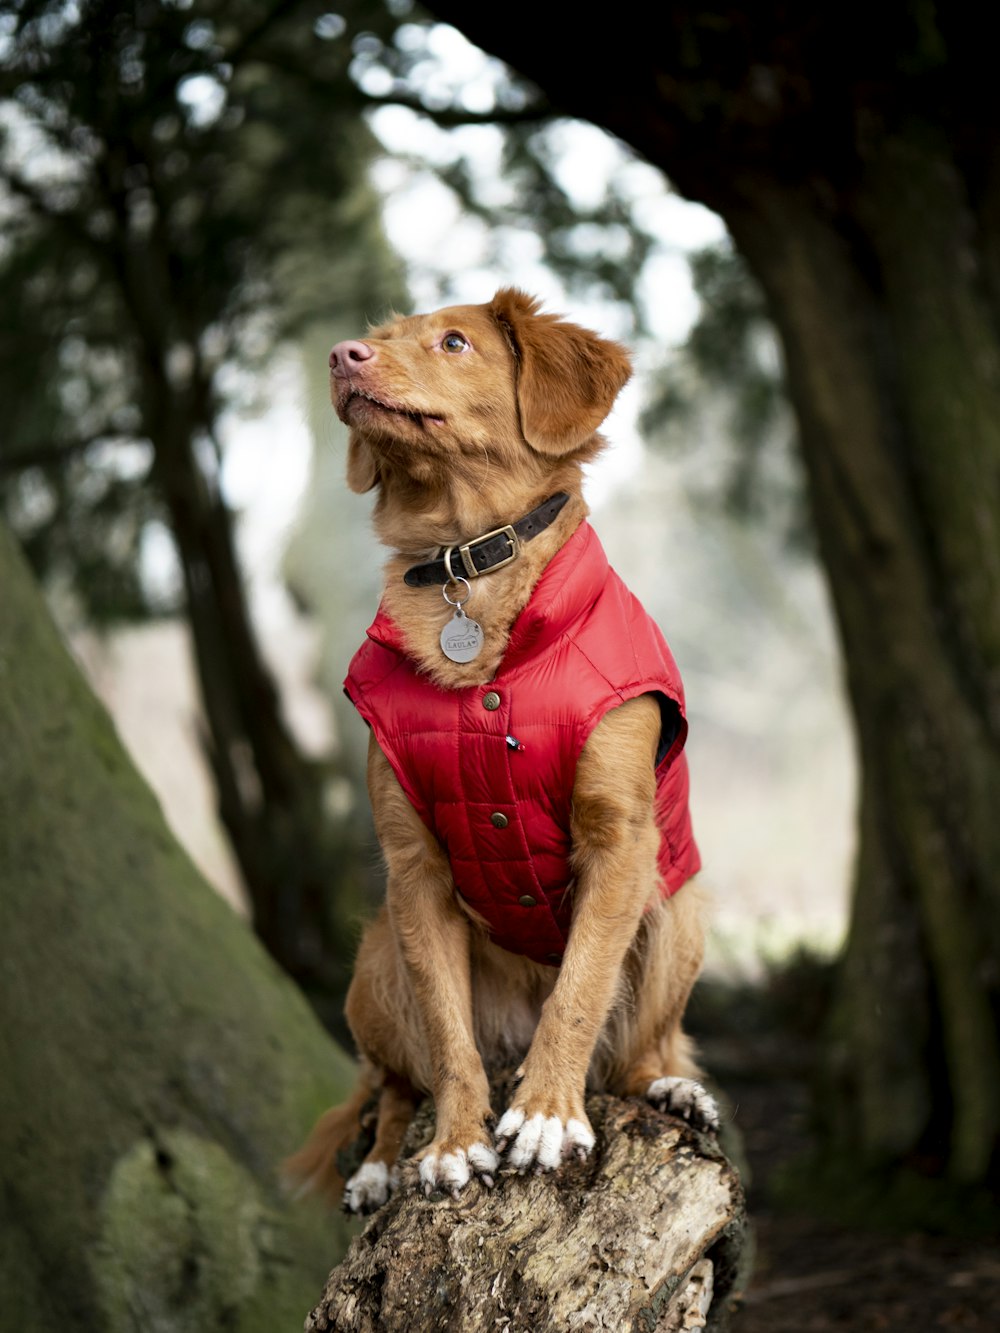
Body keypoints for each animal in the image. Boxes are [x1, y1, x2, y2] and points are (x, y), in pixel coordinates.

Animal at [289, 291, 720, 1221]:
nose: (342, 356)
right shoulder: (414, 868)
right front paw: (456, 1144)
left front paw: (548, 1115)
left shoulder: (621, 841)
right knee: (392, 1084)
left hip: (677, 905)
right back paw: (381, 1165)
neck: (468, 559)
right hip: (376, 959)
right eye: (377, 339)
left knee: (635, 1057)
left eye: (454, 342)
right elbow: (448, 1038)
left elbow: (580, 990)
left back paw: (667, 1087)